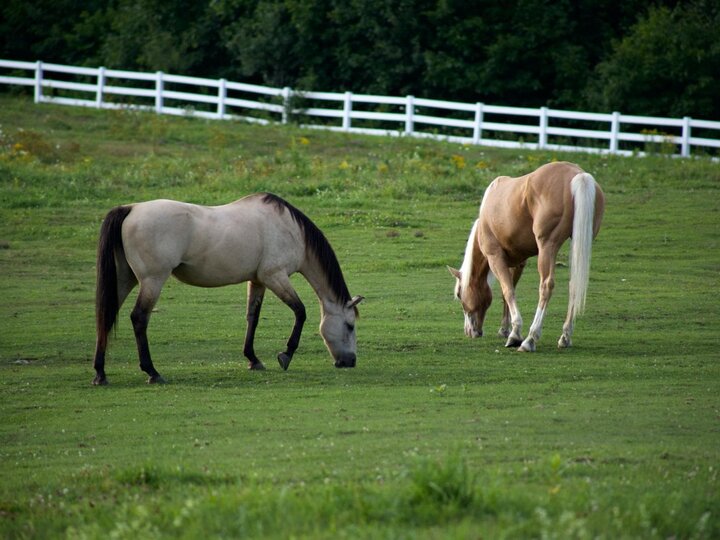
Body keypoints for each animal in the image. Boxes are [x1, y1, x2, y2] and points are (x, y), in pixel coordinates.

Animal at [94, 193, 366, 384]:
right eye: (350, 326)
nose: (350, 361)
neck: (290, 229)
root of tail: (131, 208)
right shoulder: (275, 276)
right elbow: (300, 311)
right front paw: (286, 355)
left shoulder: (257, 281)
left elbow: (252, 317)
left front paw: (253, 359)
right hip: (152, 280)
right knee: (139, 318)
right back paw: (152, 372)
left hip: (124, 279)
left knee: (106, 316)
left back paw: (100, 374)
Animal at [450, 160, 600, 352]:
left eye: (459, 294)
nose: (470, 332)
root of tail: (578, 174)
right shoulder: (518, 262)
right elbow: (507, 291)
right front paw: (504, 329)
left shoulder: (495, 257)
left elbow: (508, 291)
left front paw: (514, 334)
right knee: (574, 284)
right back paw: (565, 337)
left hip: (547, 247)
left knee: (546, 286)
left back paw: (530, 339)